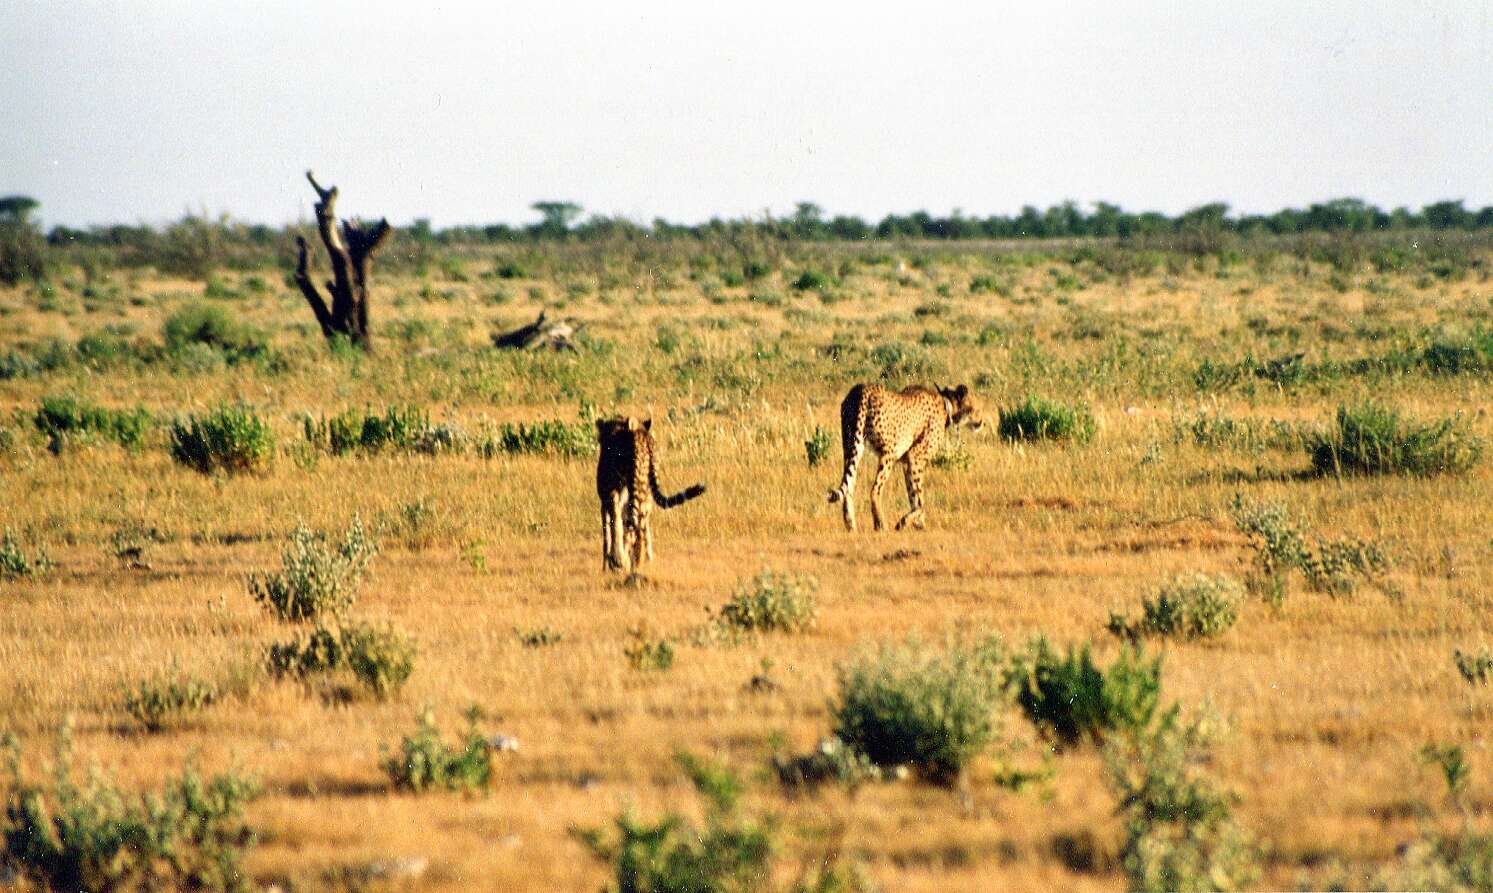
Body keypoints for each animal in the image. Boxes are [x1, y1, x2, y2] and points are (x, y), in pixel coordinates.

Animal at [594, 418, 704, 573]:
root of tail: (641, 433)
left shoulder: (607, 498)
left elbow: (609, 531)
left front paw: (610, 563)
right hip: (644, 491)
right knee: (638, 523)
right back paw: (637, 562)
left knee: (628, 524)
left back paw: (624, 561)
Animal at [824, 382, 985, 531]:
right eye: (976, 408)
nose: (982, 422)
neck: (947, 405)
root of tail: (862, 388)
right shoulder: (915, 457)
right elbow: (920, 500)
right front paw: (907, 522)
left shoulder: (907, 462)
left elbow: (913, 494)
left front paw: (918, 524)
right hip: (888, 451)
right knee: (874, 490)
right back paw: (880, 524)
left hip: (851, 446)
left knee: (849, 486)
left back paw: (851, 525)